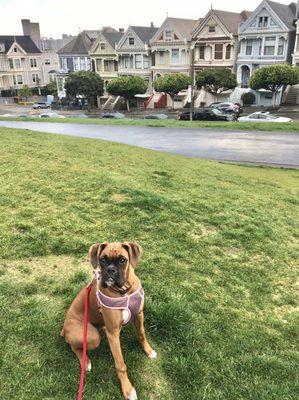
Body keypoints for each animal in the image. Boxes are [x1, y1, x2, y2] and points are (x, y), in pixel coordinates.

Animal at [61, 242, 157, 398]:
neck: (124, 292)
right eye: (103, 260)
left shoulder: (139, 314)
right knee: (74, 346)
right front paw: (128, 389)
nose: (111, 270)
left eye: (123, 260)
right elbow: (121, 364)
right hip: (91, 337)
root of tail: (63, 328)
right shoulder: (113, 334)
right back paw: (85, 362)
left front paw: (148, 351)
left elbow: (142, 335)